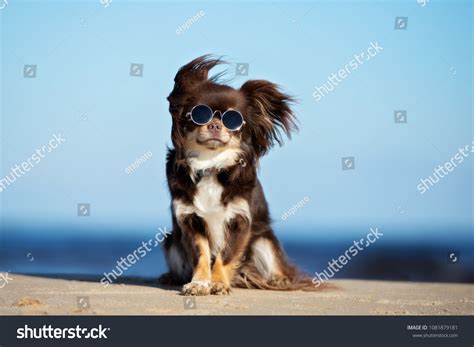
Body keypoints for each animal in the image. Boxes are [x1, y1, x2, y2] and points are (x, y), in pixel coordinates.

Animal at [160, 55, 322, 294]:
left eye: (233, 120)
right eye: (199, 114)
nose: (215, 125)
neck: (211, 165)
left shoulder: (240, 221)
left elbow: (225, 256)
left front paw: (218, 283)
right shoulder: (190, 220)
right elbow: (201, 254)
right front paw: (200, 282)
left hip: (264, 240)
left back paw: (279, 279)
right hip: (171, 240)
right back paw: (171, 276)